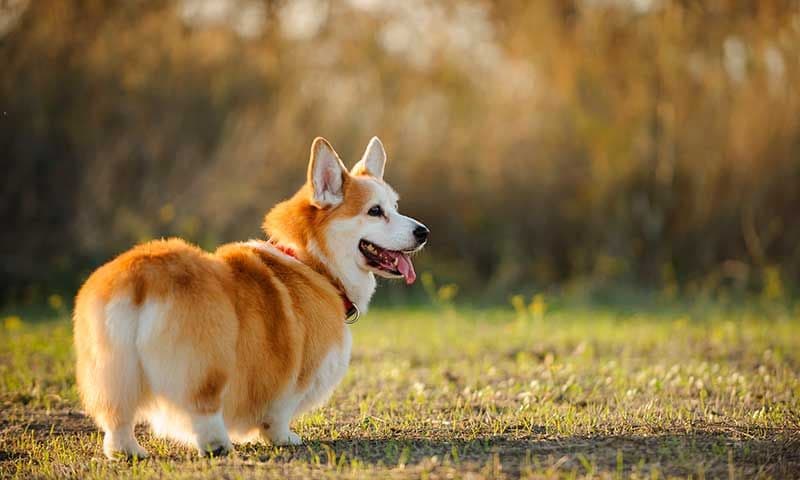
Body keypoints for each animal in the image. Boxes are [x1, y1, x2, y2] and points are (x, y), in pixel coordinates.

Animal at [72, 137, 428, 460]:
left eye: (396, 207)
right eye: (375, 211)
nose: (423, 232)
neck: (311, 260)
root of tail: (142, 275)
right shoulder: (296, 373)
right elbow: (279, 410)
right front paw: (283, 438)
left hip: (113, 368)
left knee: (117, 418)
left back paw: (129, 452)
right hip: (207, 362)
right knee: (203, 408)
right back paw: (217, 445)